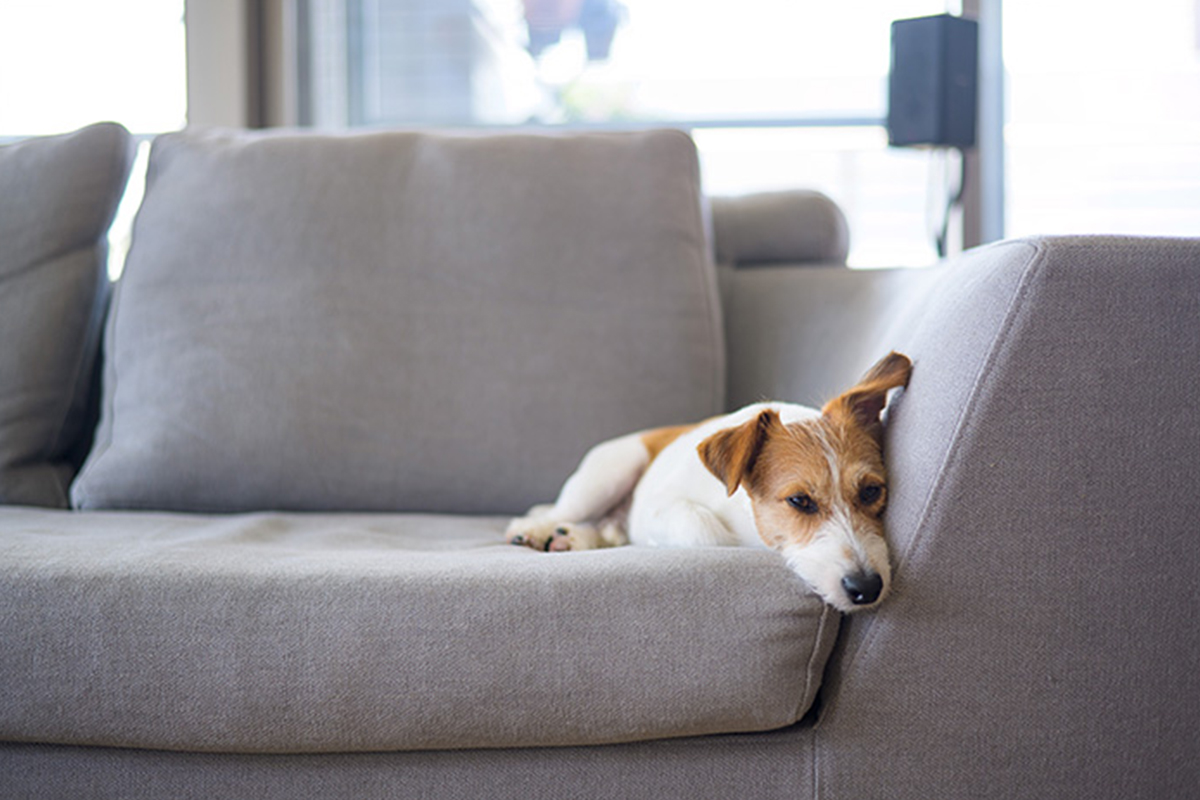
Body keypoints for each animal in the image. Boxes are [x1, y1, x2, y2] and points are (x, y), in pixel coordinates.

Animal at [504, 352, 907, 614]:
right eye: (799, 501)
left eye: (871, 491)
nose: (866, 588)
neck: (745, 516)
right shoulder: (656, 509)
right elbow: (706, 531)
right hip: (608, 474)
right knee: (560, 511)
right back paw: (537, 529)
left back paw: (573, 537)